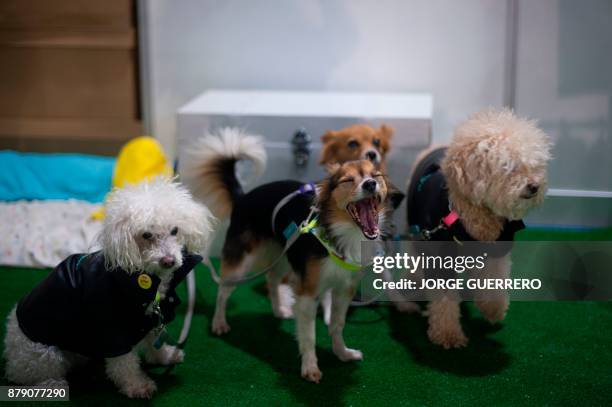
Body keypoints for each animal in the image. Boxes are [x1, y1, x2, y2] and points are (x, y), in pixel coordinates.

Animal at [4, 180, 215, 400]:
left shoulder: (150, 317)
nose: (168, 261)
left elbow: (154, 338)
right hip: (44, 354)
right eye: (146, 234)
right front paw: (137, 386)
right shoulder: (112, 328)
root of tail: (10, 355)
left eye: (175, 230)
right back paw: (53, 385)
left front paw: (164, 355)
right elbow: (124, 364)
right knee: (37, 376)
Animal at [184, 129, 390, 384]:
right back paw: (219, 323)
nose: (370, 184)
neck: (340, 234)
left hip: (282, 255)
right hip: (241, 263)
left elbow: (337, 325)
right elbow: (309, 336)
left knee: (272, 279)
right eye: (348, 180)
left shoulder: (344, 290)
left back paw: (278, 310)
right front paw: (310, 367)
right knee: (223, 291)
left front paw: (341, 352)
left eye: (377, 176)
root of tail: (243, 197)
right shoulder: (308, 293)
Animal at [406, 109, 548, 350]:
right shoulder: (439, 256)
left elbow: (493, 281)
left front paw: (493, 310)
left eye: (534, 164)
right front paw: (447, 334)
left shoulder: (498, 248)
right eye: (508, 166)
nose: (534, 186)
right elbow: (444, 300)